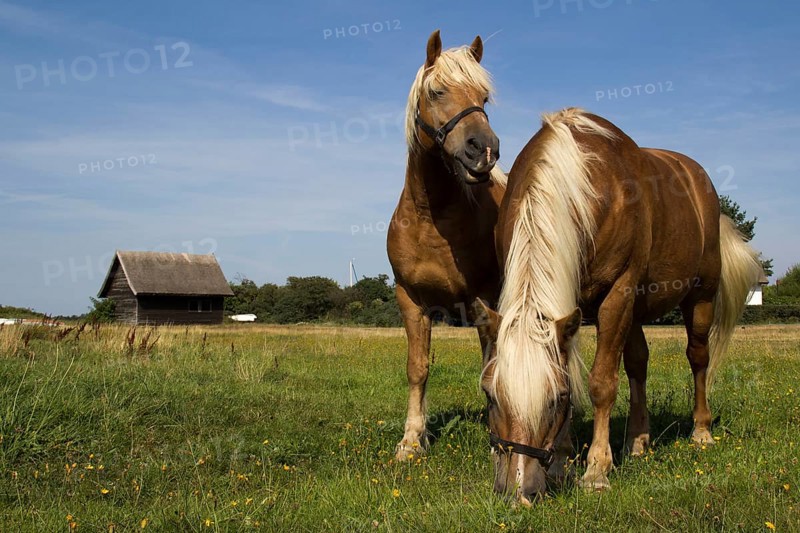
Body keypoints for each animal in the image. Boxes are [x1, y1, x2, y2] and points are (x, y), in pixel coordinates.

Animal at [387, 30, 507, 461]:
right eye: (437, 91)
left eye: (484, 98)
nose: (484, 150)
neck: (430, 216)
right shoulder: (411, 301)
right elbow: (417, 368)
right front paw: (411, 440)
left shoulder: (486, 300)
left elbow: (492, 369)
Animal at [476, 108, 762, 504]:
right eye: (490, 395)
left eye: (556, 398)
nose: (519, 491)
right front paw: (562, 462)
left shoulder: (618, 293)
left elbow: (600, 383)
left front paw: (596, 470)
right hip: (636, 311)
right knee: (638, 363)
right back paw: (637, 441)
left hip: (701, 296)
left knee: (698, 357)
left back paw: (701, 432)